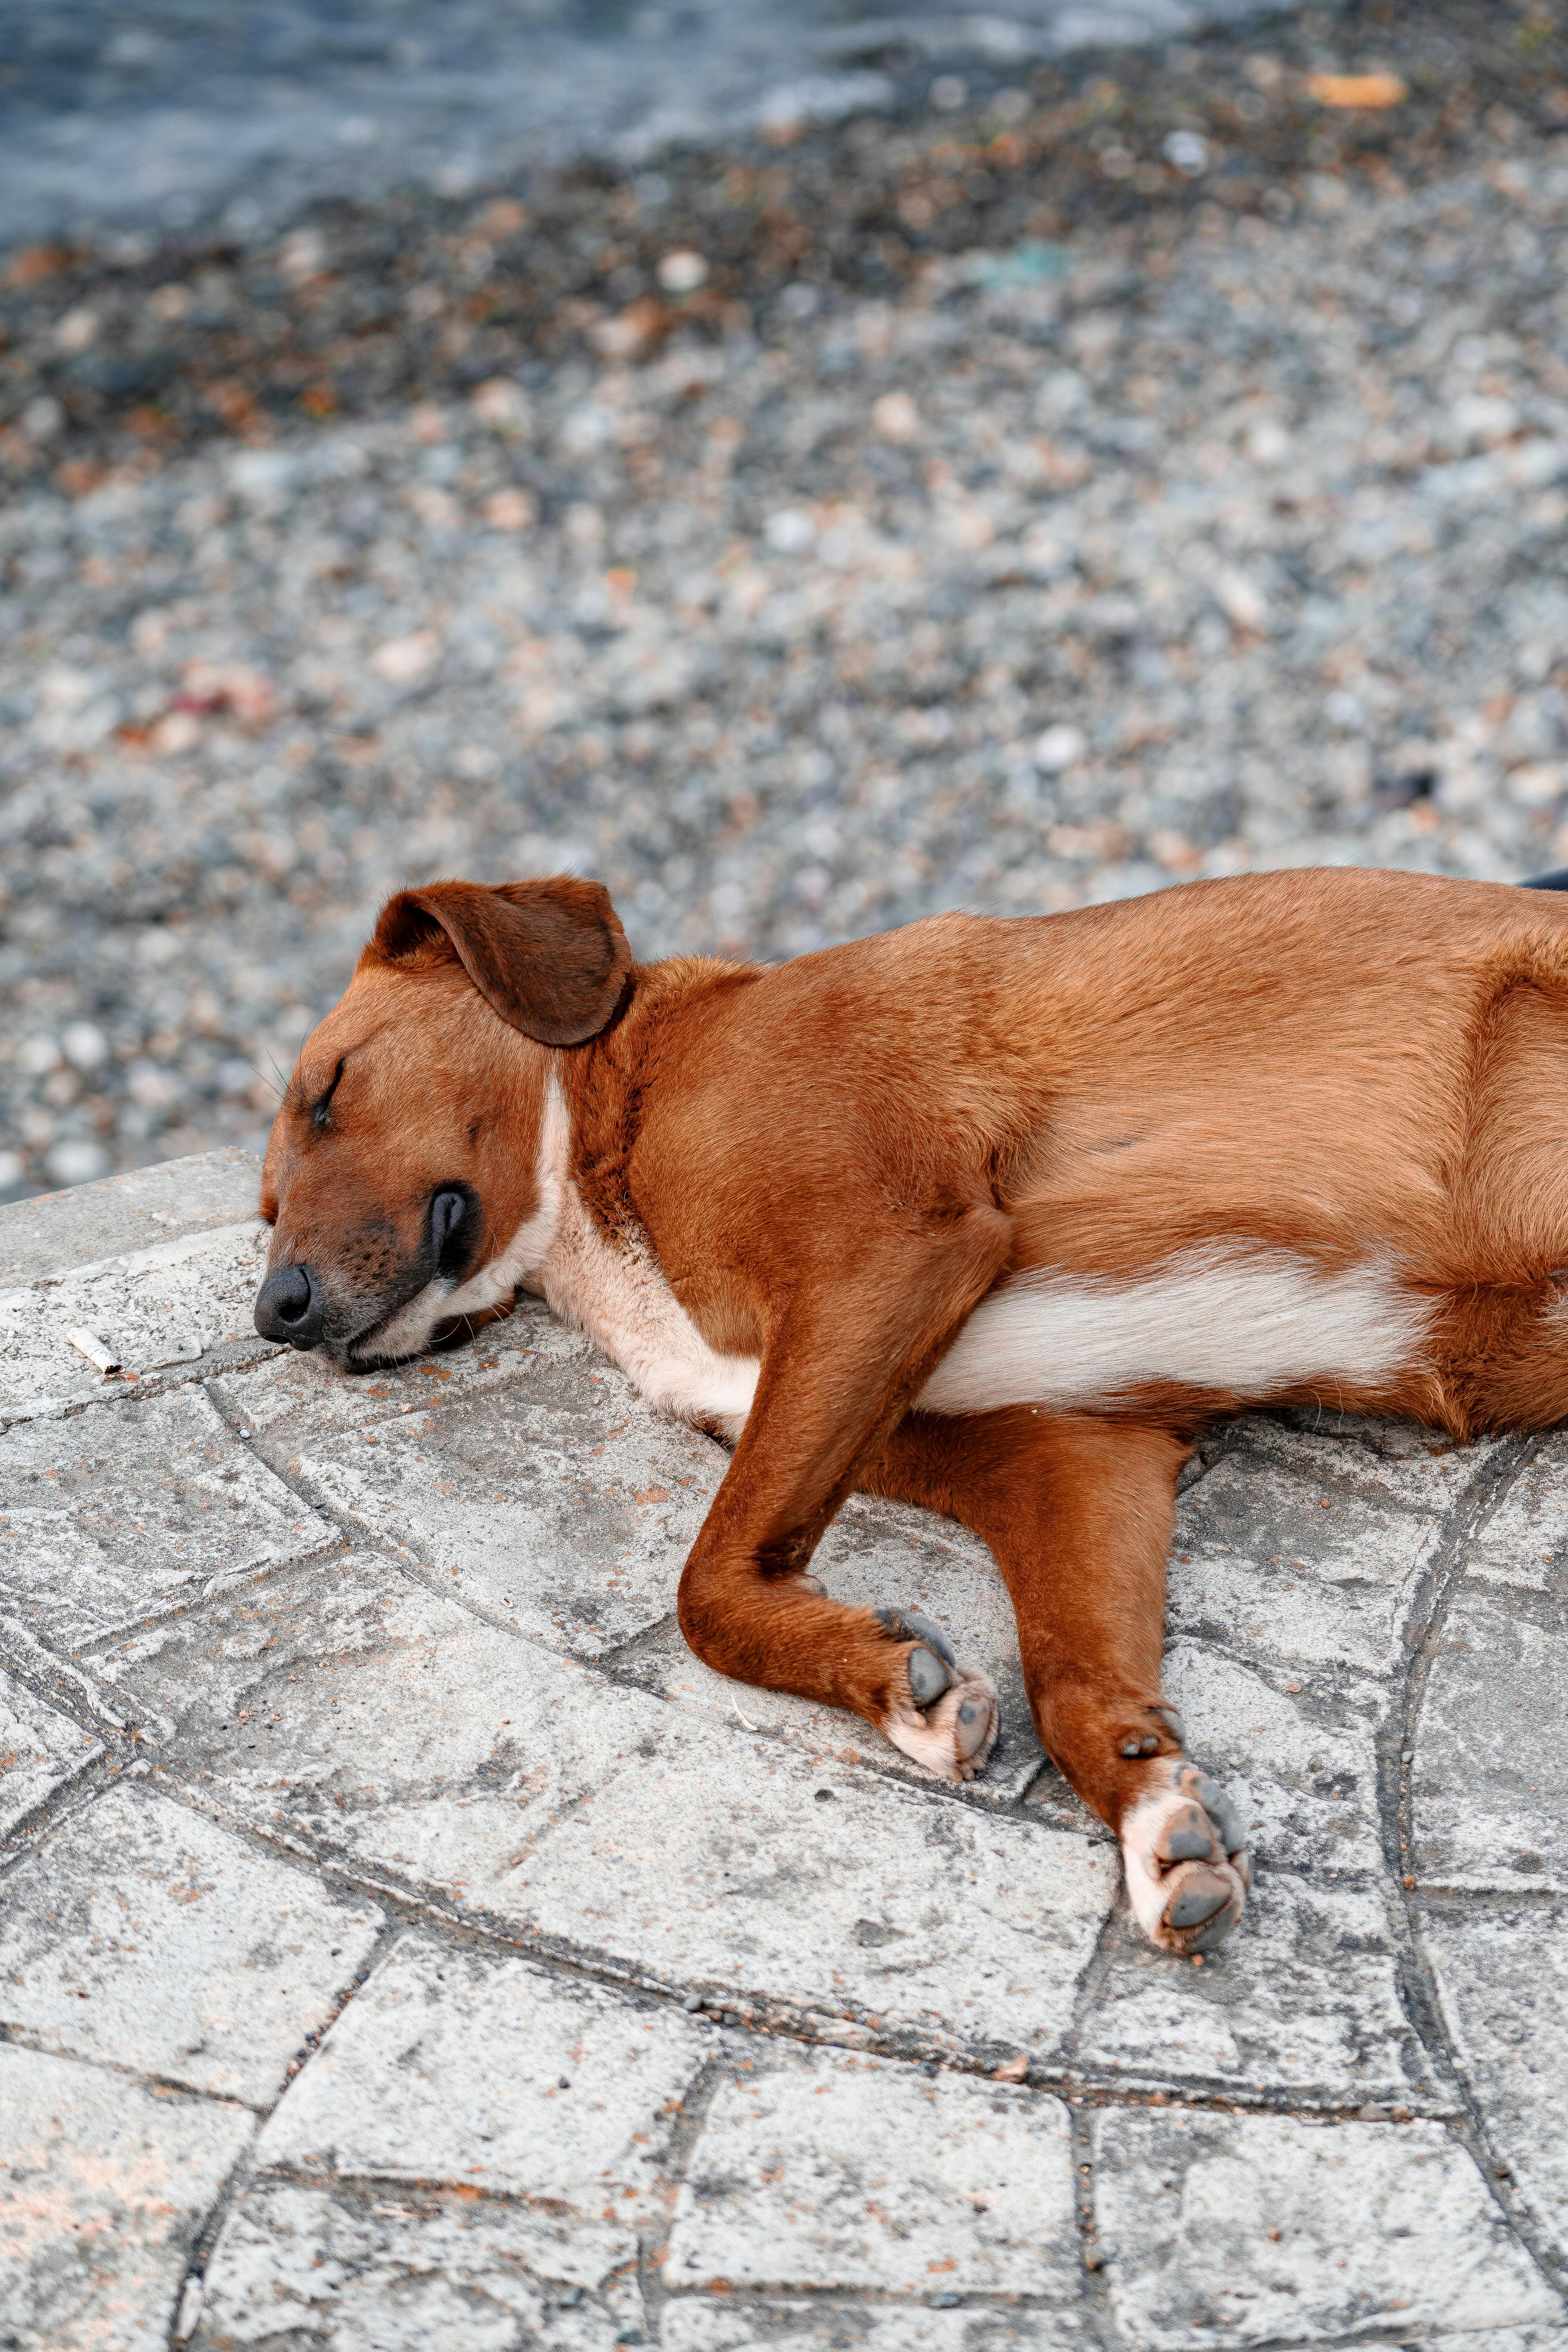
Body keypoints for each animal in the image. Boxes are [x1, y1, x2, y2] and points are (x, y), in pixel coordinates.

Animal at [255, 861, 1568, 1947]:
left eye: (330, 1091)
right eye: (265, 1211)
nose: (276, 1308)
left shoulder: (884, 1252)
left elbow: (705, 1590)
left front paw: (890, 1677)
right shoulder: (1072, 1459)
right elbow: (1073, 1681)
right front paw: (1145, 1807)